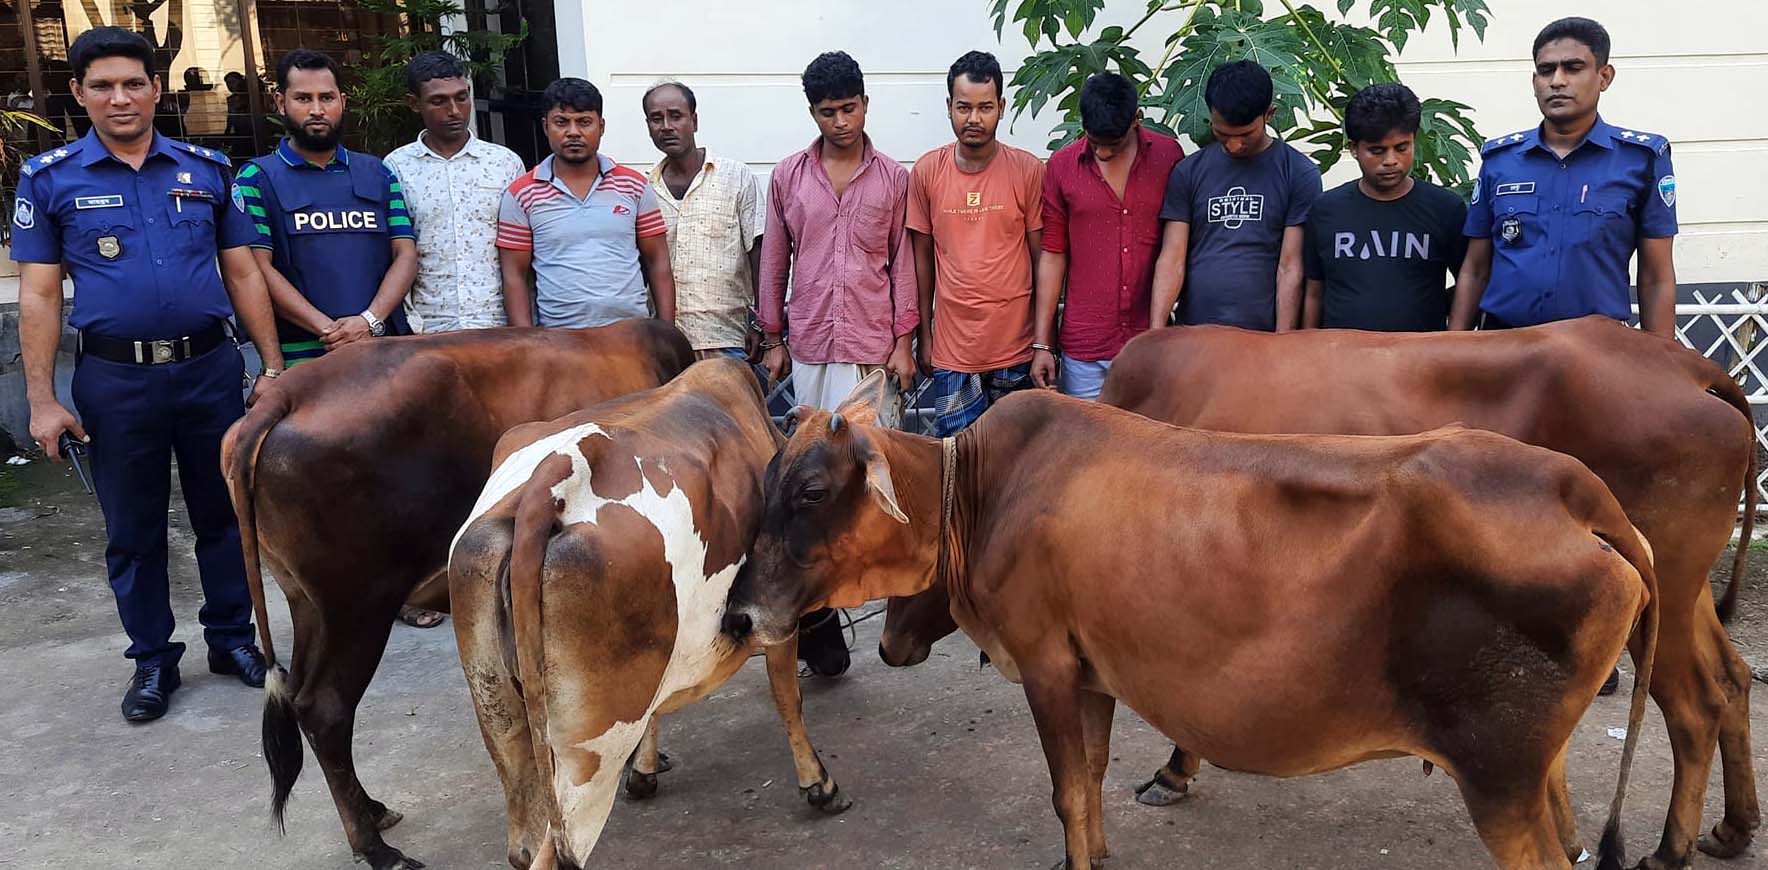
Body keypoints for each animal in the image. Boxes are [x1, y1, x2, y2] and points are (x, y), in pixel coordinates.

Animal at [449, 357, 848, 866]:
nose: (839, 661)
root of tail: (551, 482)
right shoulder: (774, 622)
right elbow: (787, 698)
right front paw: (819, 784)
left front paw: (643, 771)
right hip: (588, 760)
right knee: (556, 850)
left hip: (502, 720)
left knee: (522, 842)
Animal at [728, 383, 1654, 870]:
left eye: (811, 490)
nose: (740, 612)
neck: (988, 488)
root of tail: (1578, 493)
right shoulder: (1090, 673)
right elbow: (1089, 782)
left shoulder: (1046, 667)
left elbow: (1066, 791)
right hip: (1538, 774)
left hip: (1498, 780)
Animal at [1089, 320, 1753, 870]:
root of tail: (1691, 368)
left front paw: (1175, 769)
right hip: (1681, 585)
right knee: (1732, 677)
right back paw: (1732, 828)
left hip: (1665, 587)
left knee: (1696, 706)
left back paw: (1670, 851)